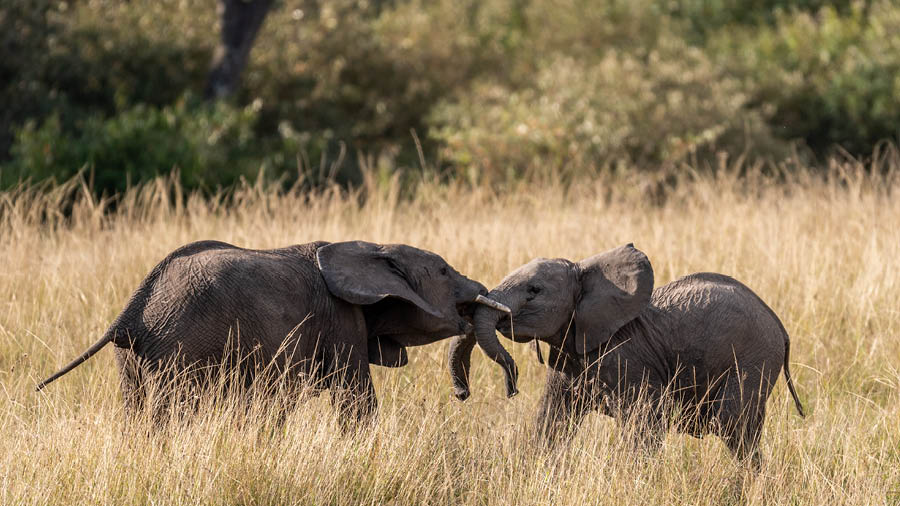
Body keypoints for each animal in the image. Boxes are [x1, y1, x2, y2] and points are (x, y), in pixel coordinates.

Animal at [37, 239, 497, 423]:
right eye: (443, 270)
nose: (461, 395)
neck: (372, 246)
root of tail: (129, 313)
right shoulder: (341, 317)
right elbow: (356, 399)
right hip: (179, 346)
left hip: (134, 358)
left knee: (136, 410)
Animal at [450, 244, 805, 465]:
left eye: (534, 291)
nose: (462, 393)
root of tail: (779, 325)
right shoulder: (566, 357)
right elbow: (551, 421)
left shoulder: (627, 360)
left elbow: (643, 426)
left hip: (753, 360)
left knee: (734, 428)